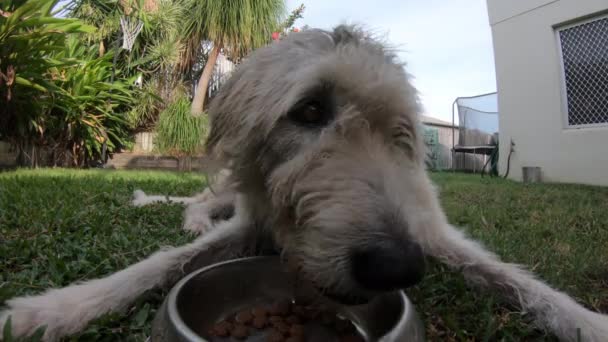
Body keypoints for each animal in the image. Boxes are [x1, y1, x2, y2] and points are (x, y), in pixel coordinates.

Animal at [1, 25, 608, 340]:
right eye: (310, 110)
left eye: (401, 133)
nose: (394, 266)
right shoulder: (251, 220)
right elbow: (159, 263)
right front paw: (55, 309)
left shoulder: (431, 233)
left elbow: (519, 281)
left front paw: (586, 321)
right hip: (229, 187)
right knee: (199, 200)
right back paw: (188, 216)